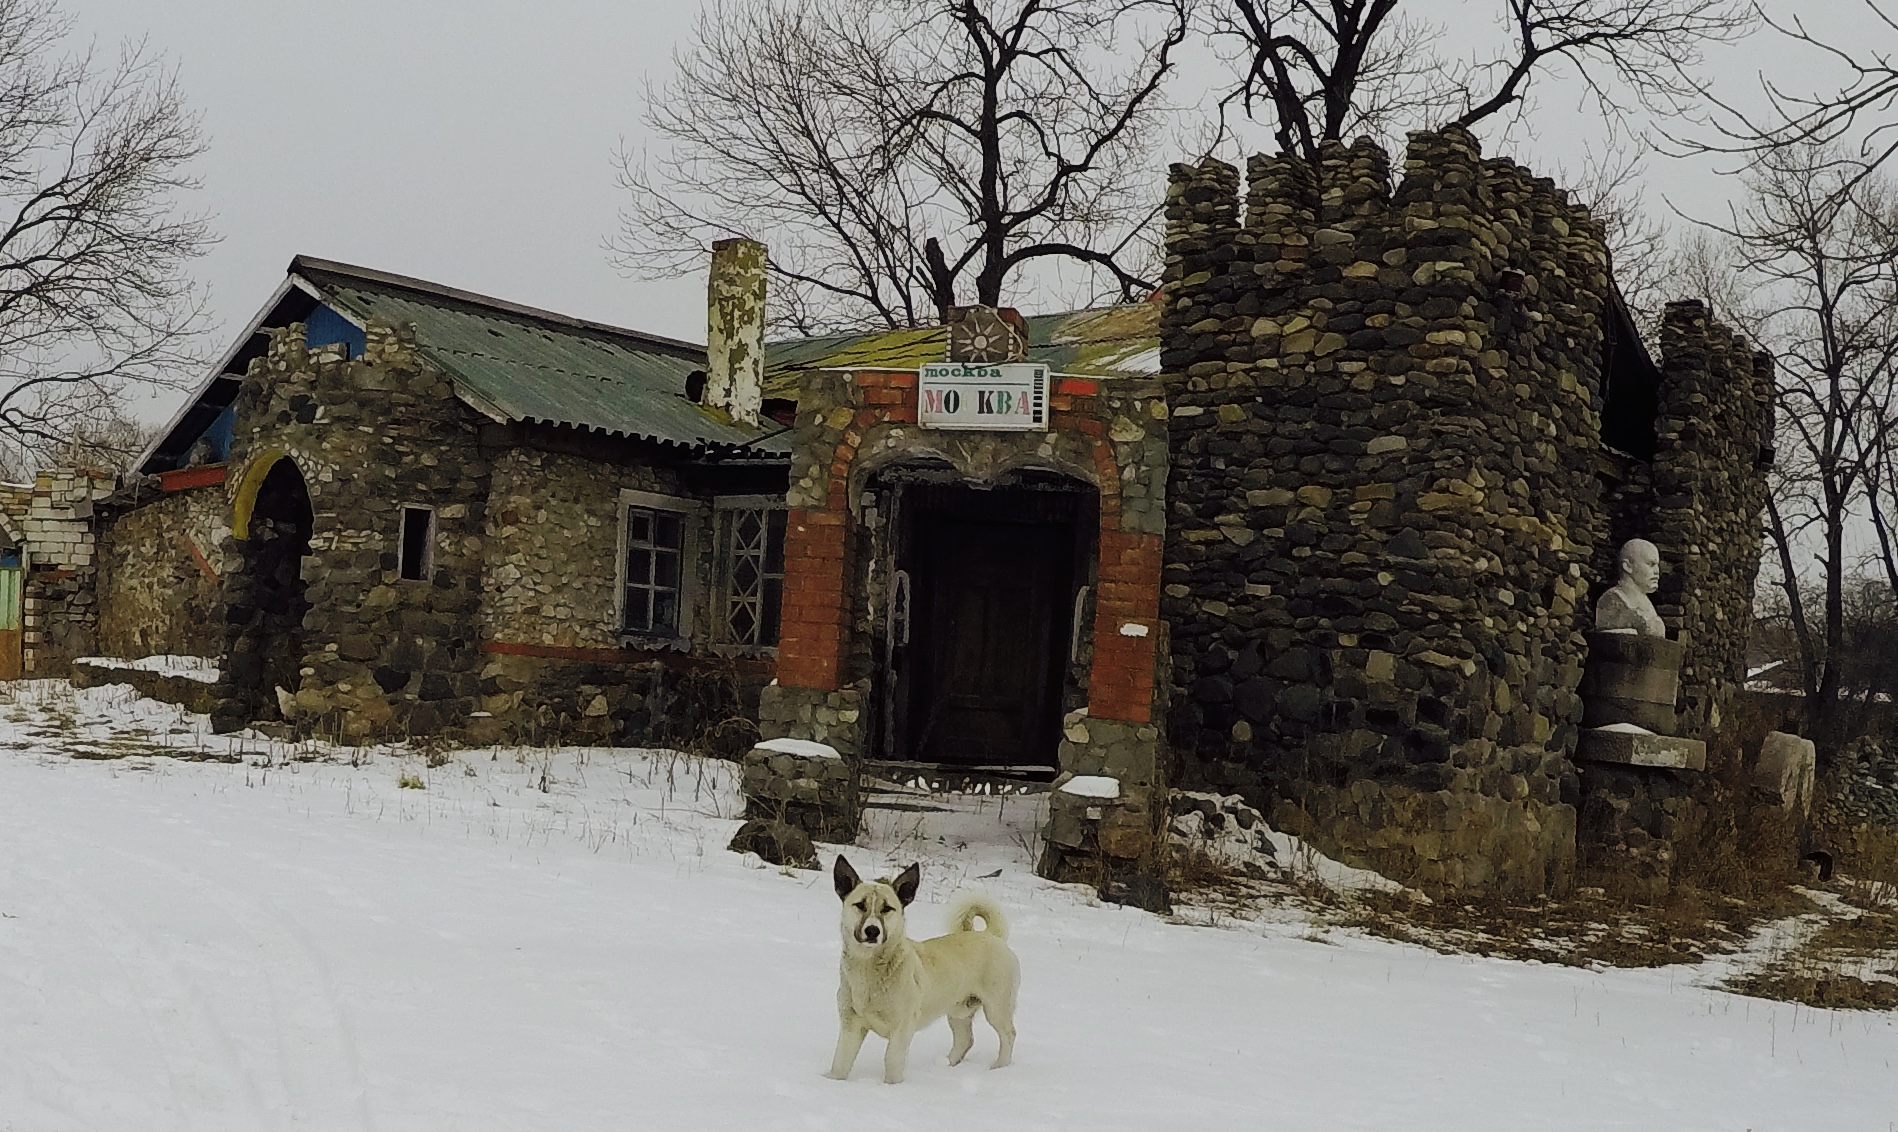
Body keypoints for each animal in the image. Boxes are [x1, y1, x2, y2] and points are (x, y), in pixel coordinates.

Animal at [826, 855, 1020, 1084]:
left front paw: (891, 1086)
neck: (869, 971)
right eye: (860, 905)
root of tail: (992, 935)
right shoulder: (851, 1026)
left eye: (887, 908)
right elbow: (840, 1063)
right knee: (965, 1040)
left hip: (997, 1008)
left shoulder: (901, 1029)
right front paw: (833, 1081)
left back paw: (999, 1068)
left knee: (1008, 1035)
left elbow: (891, 1062)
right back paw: (947, 1066)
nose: (872, 931)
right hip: (958, 1011)